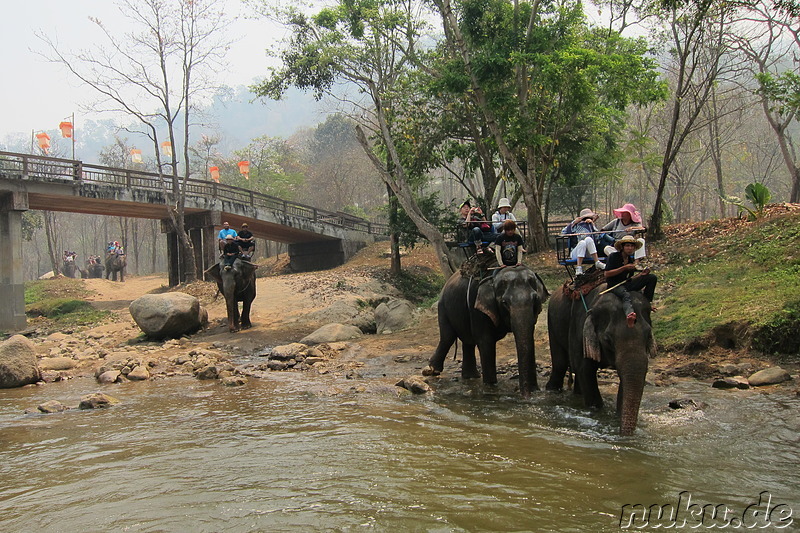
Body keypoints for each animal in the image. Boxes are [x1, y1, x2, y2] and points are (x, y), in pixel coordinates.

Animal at [418, 264, 552, 396]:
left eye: (535, 299)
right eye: (504, 303)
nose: (527, 392)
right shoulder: (477, 306)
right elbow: (486, 341)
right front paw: (491, 387)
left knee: (468, 341)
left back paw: (470, 376)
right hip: (443, 306)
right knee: (448, 337)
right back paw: (433, 370)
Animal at [544, 280, 656, 434]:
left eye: (648, 334)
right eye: (608, 339)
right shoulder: (579, 329)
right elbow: (585, 370)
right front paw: (598, 412)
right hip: (552, 321)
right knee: (560, 364)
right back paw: (552, 391)